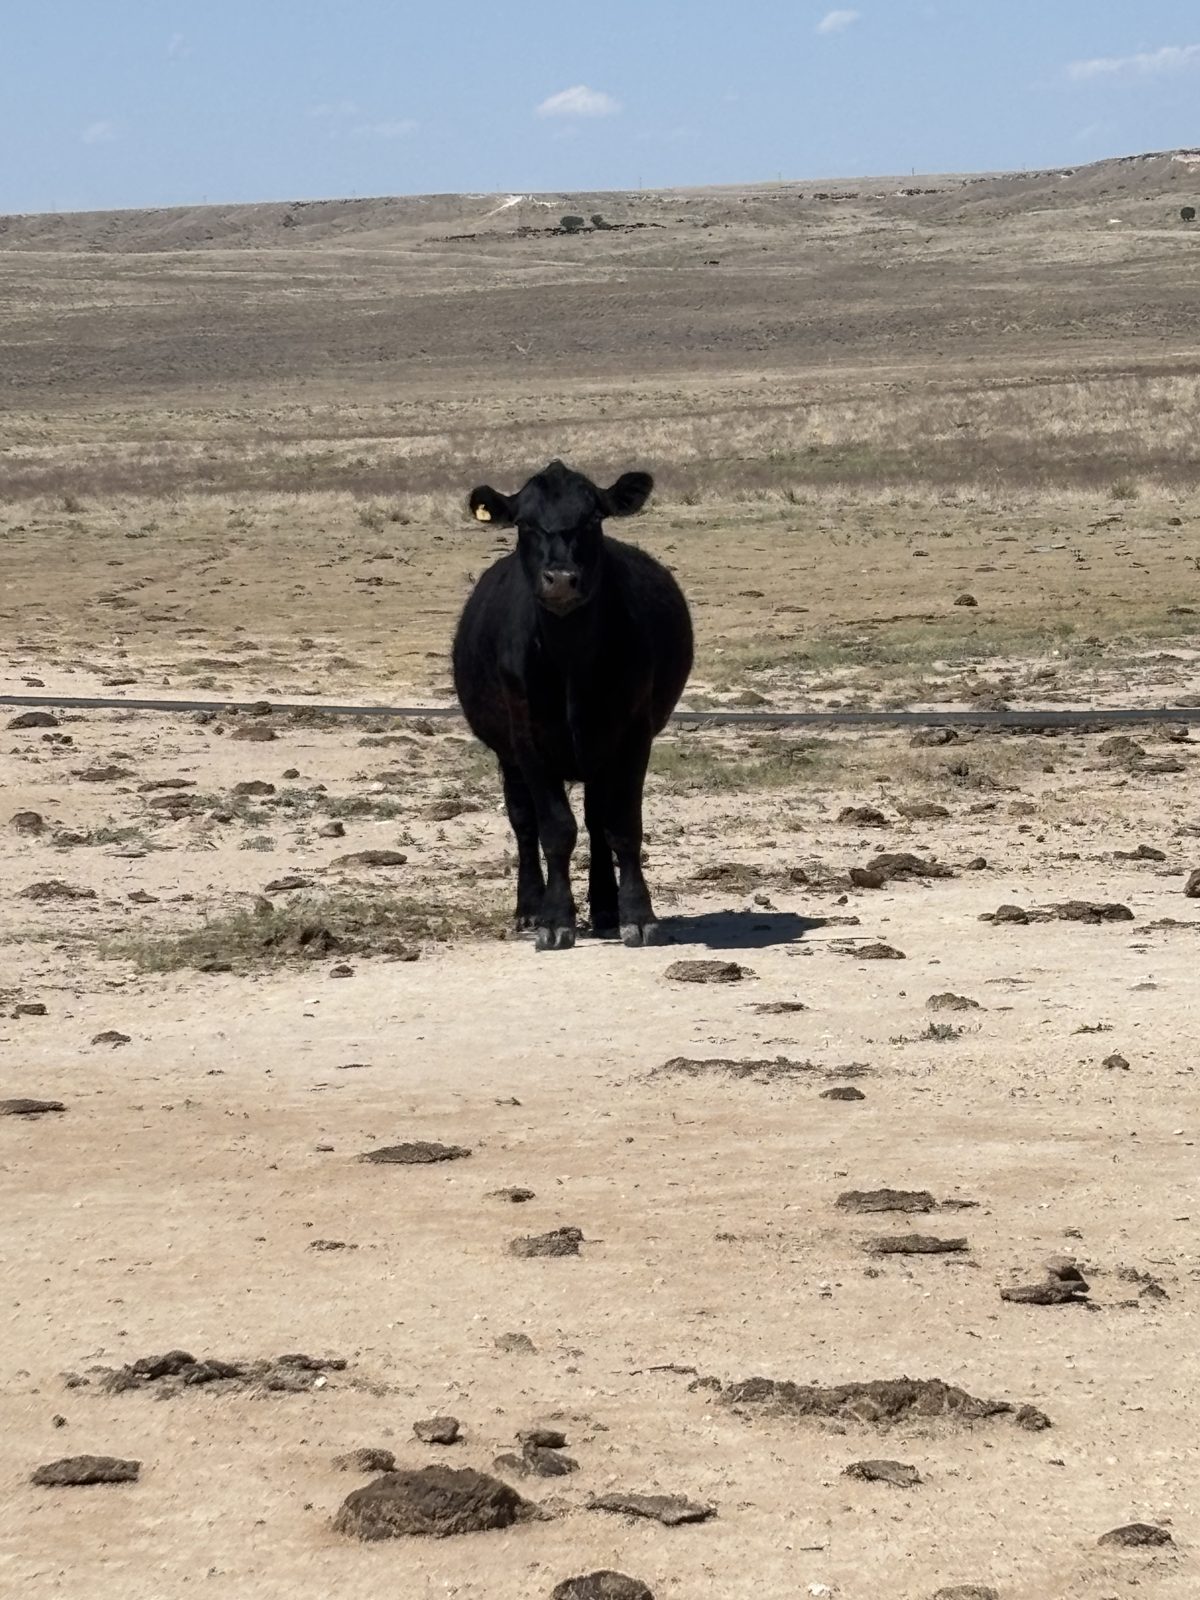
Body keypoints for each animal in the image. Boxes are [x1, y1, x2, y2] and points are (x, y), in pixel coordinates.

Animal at [452, 460, 693, 952]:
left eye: (593, 517)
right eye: (525, 522)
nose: (561, 578)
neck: (570, 663)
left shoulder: (632, 735)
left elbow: (622, 825)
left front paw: (637, 915)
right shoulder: (528, 742)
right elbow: (555, 830)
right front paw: (554, 919)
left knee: (597, 822)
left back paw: (604, 909)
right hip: (509, 755)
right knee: (524, 824)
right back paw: (529, 908)